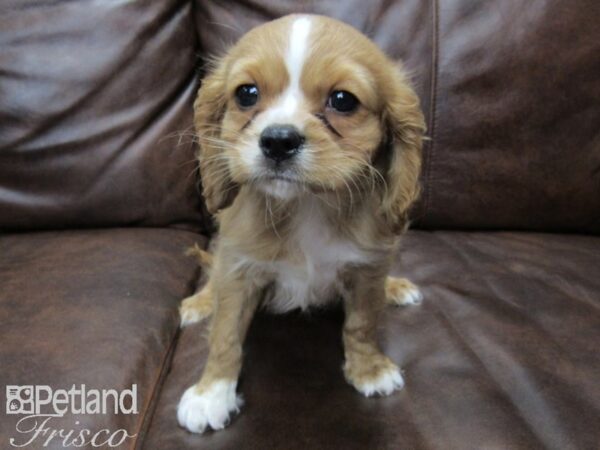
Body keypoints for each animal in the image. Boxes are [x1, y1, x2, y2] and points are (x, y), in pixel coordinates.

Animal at [176, 14, 424, 434]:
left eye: (343, 100)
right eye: (246, 94)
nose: (278, 140)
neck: (307, 206)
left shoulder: (366, 268)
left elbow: (362, 324)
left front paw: (369, 370)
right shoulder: (238, 268)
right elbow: (225, 335)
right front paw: (212, 394)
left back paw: (395, 286)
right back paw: (199, 302)